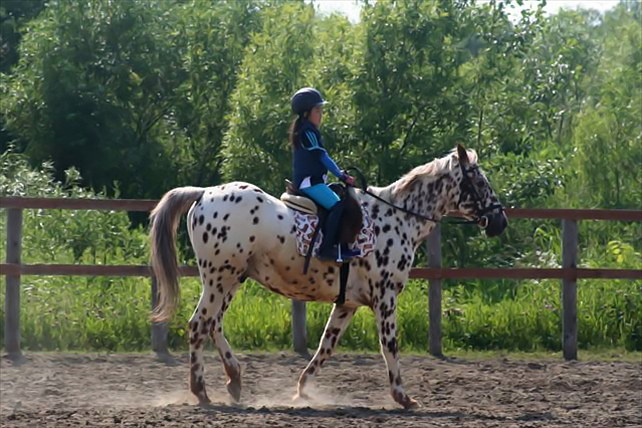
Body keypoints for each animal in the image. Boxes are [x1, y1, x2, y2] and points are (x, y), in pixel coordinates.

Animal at [149, 144, 508, 409]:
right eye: (479, 182)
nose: (499, 221)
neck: (396, 219)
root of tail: (204, 193)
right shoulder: (385, 298)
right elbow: (389, 344)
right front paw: (403, 397)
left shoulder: (347, 304)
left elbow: (326, 346)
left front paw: (301, 391)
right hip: (220, 278)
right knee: (199, 325)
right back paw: (201, 391)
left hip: (231, 279)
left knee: (214, 325)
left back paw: (234, 380)